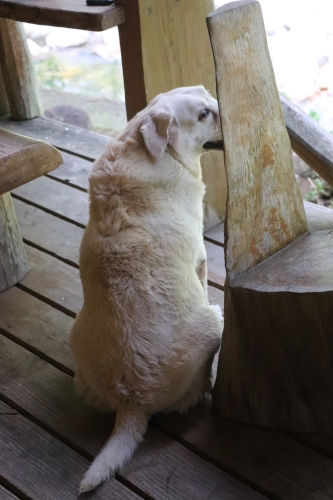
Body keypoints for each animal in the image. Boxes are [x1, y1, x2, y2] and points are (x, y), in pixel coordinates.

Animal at [69, 87, 222, 492]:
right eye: (204, 113)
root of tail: (132, 405)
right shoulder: (200, 259)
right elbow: (204, 279)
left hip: (76, 337)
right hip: (213, 320)